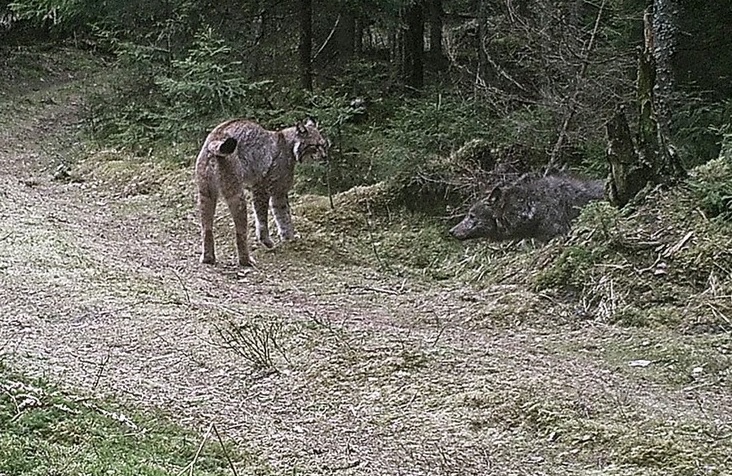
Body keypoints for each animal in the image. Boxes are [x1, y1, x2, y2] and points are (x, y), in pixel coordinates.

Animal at [197, 117, 328, 266]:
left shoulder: (279, 192)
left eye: (324, 145)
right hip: (236, 193)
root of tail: (216, 136)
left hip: (205, 193)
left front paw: (289, 239)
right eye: (315, 146)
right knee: (240, 232)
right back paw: (246, 260)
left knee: (206, 228)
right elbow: (263, 218)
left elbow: (283, 215)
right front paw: (267, 241)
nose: (325, 157)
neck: (290, 146)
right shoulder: (262, 188)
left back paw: (208, 258)